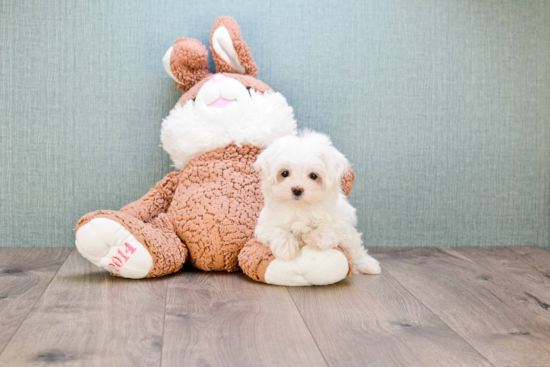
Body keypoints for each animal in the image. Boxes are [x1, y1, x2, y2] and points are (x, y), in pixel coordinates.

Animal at [256, 131, 382, 274]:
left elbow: (330, 227)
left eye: (313, 176)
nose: (297, 189)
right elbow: (277, 230)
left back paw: (367, 264)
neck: (300, 207)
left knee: (356, 251)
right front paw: (286, 247)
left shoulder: (341, 223)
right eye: (285, 173)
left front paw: (316, 238)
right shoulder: (265, 225)